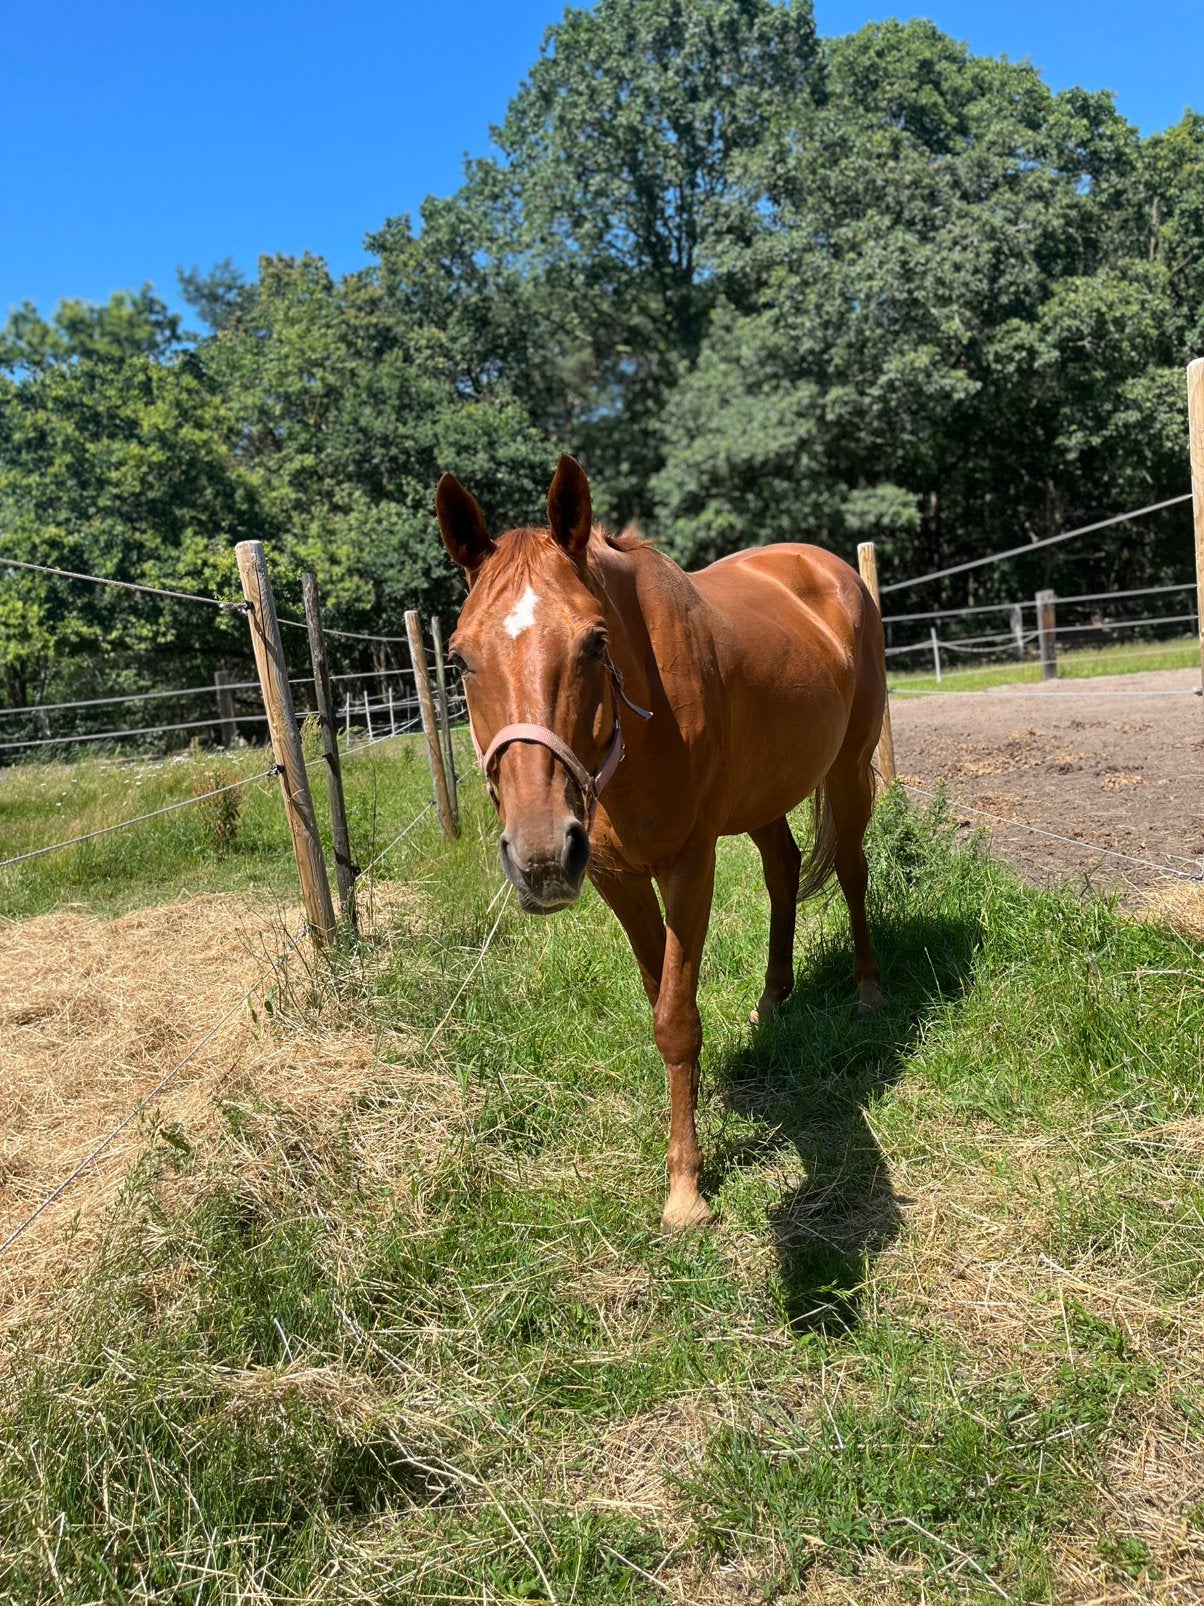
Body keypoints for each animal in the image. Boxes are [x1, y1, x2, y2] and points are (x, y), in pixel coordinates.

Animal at [435, 455, 887, 1231]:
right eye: (461, 660)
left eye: (595, 641)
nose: (541, 857)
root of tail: (832, 571)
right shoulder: (616, 875)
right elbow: (661, 998)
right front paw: (693, 1127)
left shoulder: (688, 862)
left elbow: (676, 1018)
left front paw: (685, 1190)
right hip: (762, 794)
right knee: (783, 870)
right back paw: (773, 999)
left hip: (849, 770)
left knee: (852, 873)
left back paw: (866, 991)